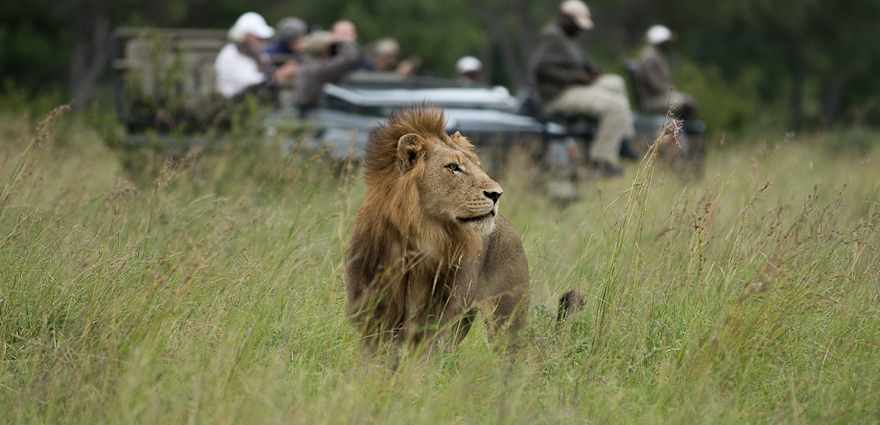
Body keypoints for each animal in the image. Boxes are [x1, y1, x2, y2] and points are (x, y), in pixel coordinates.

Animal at [345, 107, 529, 352]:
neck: (418, 240)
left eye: (477, 165)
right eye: (453, 167)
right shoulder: (372, 316)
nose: (497, 194)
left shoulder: (432, 322)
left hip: (506, 320)